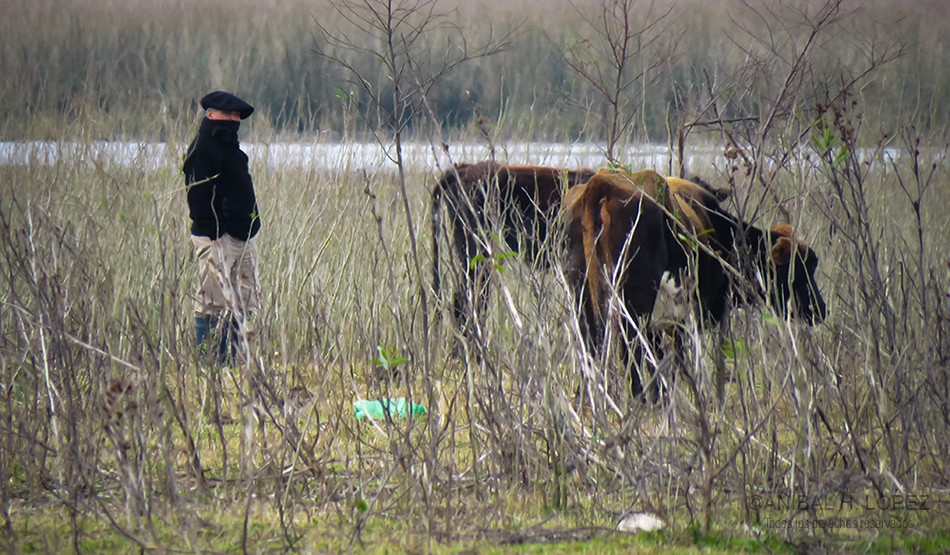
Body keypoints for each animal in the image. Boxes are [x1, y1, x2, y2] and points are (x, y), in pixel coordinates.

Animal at [564, 169, 824, 400]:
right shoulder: (690, 314)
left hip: (584, 302)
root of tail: (601, 182)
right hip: (635, 307)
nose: (820, 309)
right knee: (632, 353)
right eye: (804, 266)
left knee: (592, 349)